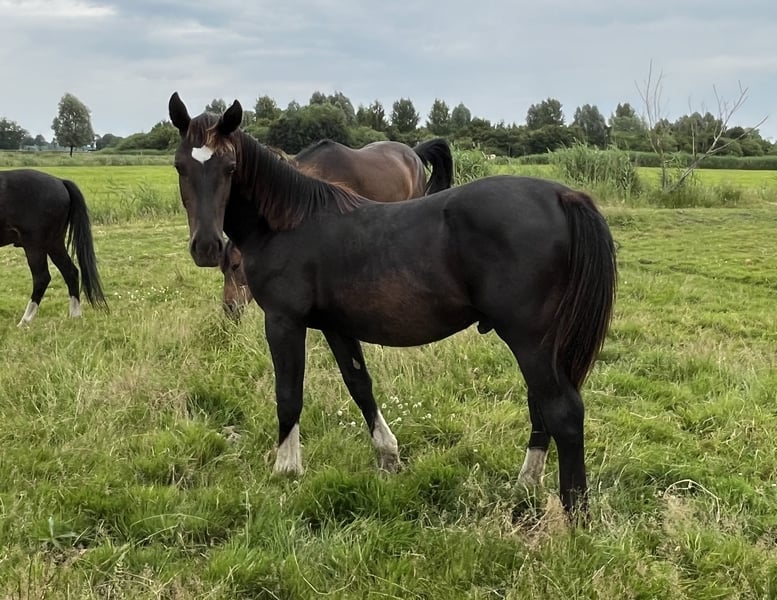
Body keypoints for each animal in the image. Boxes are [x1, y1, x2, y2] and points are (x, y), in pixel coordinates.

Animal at [0, 169, 107, 325]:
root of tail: (60, 181)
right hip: (54, 244)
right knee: (70, 272)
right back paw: (75, 315)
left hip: (35, 247)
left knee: (42, 278)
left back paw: (25, 321)